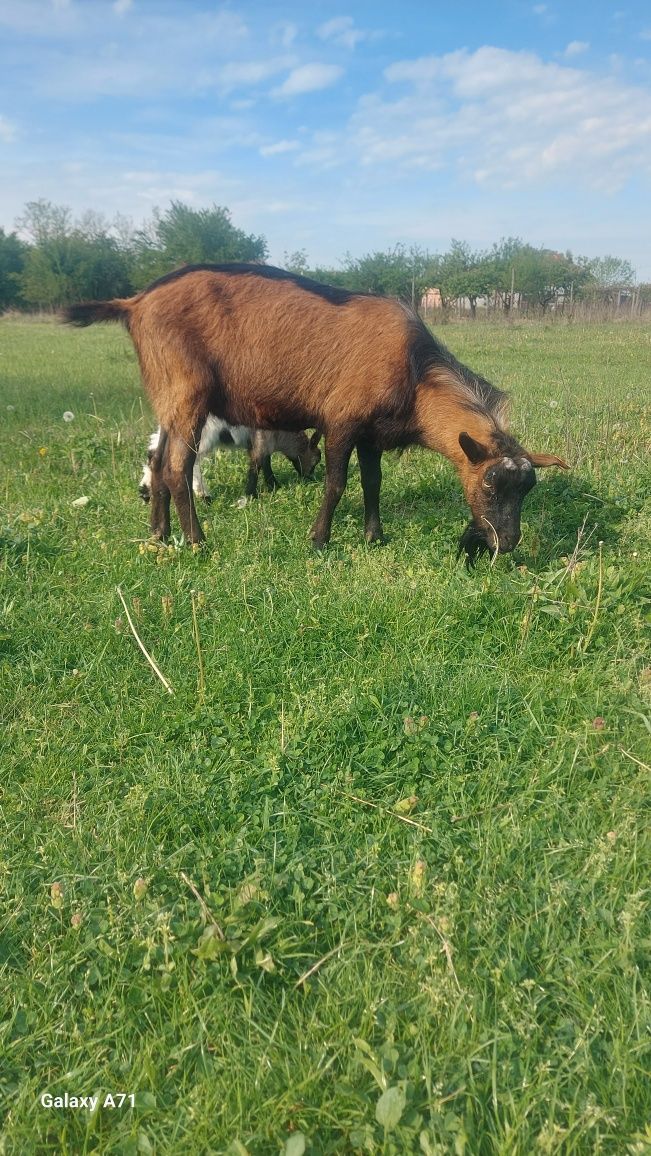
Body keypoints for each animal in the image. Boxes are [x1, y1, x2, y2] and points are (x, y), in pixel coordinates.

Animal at [63, 265, 568, 564]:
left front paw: (374, 536)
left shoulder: (371, 433)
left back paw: (158, 535)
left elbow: (372, 483)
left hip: (169, 397)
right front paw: (320, 539)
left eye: (528, 489)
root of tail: (134, 304)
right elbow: (336, 483)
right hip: (187, 392)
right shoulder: (341, 421)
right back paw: (197, 541)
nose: (505, 543)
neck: (415, 374)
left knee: (156, 460)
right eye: (490, 484)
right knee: (175, 467)